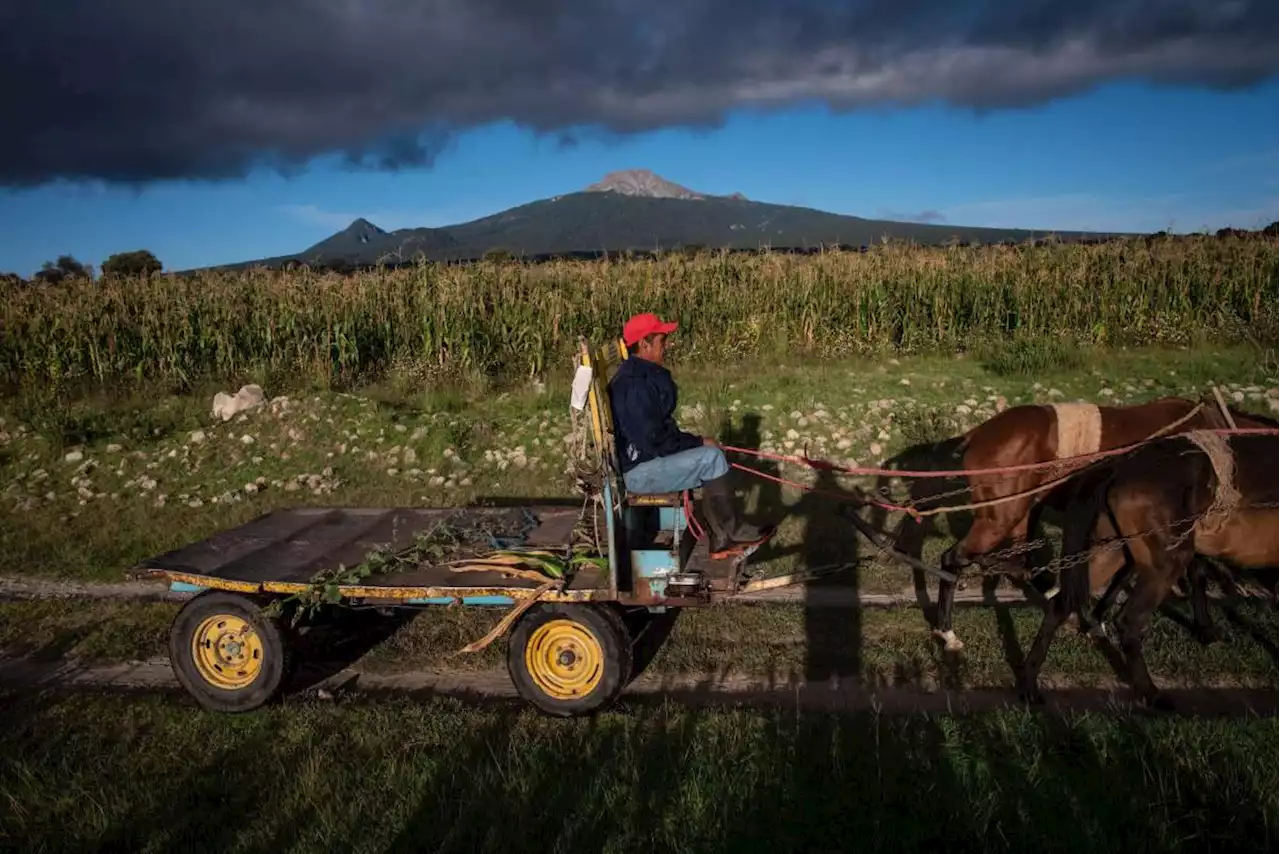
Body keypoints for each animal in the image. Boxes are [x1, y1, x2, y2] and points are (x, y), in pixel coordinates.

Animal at [901, 396, 1280, 655]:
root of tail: (978, 433)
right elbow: (1194, 572)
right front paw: (1206, 628)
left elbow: (1124, 572)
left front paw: (1095, 616)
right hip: (1000, 515)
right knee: (955, 559)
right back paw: (947, 630)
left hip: (1021, 511)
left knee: (1021, 557)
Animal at [1018, 427, 1280, 706]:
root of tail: (1119, 467)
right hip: (1167, 560)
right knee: (1129, 622)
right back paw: (1152, 693)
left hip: (1110, 550)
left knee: (1060, 604)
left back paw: (1030, 684)